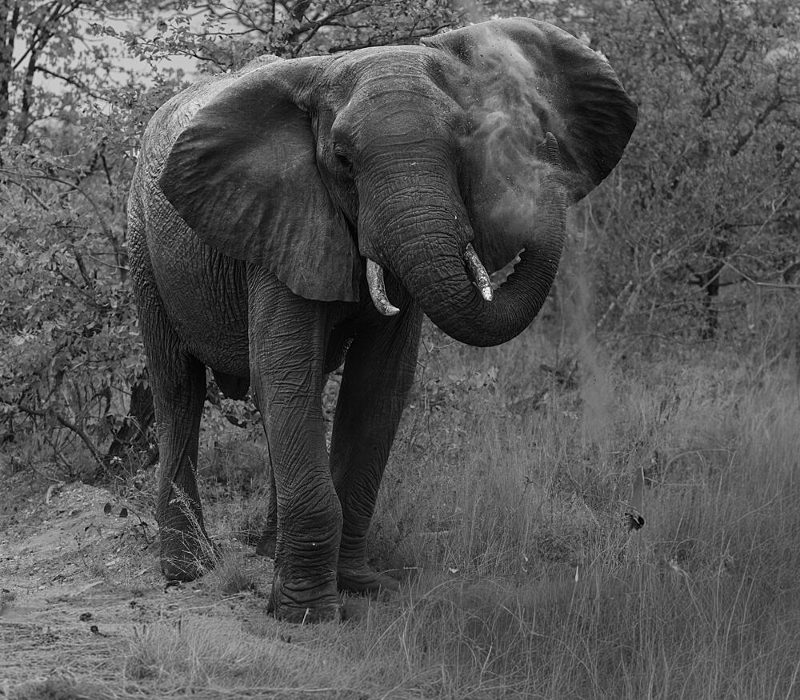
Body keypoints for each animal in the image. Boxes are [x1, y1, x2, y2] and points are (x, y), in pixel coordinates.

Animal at [127, 17, 637, 622]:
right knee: (177, 387)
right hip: (143, 245)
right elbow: (283, 374)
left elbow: (378, 385)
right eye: (343, 160)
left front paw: (361, 587)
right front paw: (306, 613)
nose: (544, 140)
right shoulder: (281, 222)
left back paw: (265, 550)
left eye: (465, 146)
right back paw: (188, 571)